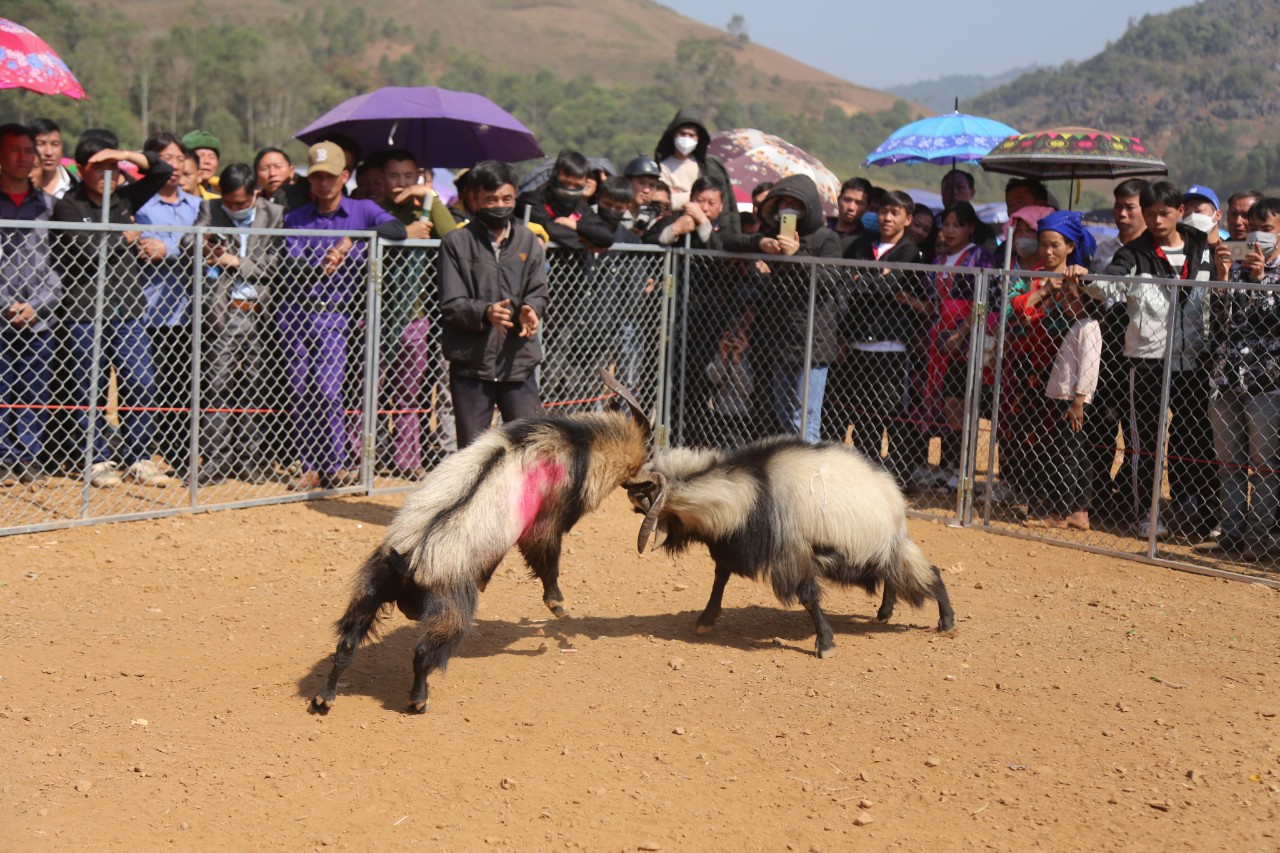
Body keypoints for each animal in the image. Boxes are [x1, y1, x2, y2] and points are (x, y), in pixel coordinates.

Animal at [309, 368, 650, 712]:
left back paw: (325, 697)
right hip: (451, 605)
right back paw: (418, 700)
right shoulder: (545, 523)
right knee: (424, 652)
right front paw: (558, 606)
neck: (578, 444)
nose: (644, 500)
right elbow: (547, 562)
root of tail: (410, 558)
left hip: (373, 585)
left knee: (347, 641)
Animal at [624, 435, 957, 653]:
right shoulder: (734, 546)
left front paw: (825, 643)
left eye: (647, 496)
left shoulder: (791, 554)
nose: (629, 490)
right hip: (873, 553)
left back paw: (946, 620)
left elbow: (808, 597)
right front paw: (705, 620)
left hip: (887, 546)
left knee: (931, 573)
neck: (755, 489)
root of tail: (894, 493)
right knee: (894, 576)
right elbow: (720, 579)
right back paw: (885, 612)